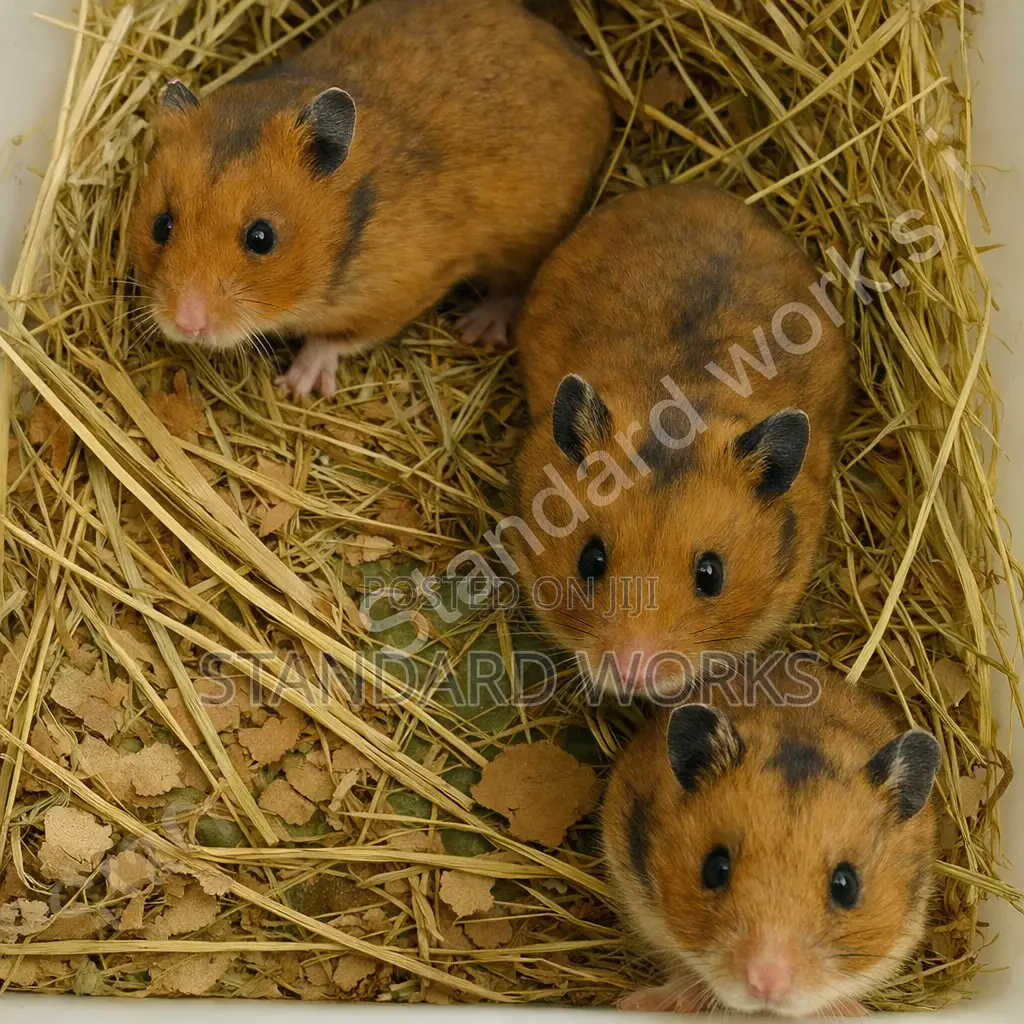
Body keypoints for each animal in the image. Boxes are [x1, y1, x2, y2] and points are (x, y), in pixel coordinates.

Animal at [127, 0, 611, 398]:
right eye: (161, 225)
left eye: (261, 238)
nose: (186, 324)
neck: (349, 225)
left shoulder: (397, 294)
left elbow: (334, 338)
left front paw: (297, 387)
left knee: (514, 286)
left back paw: (476, 327)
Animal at [602, 660, 942, 1018]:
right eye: (715, 869)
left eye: (846, 886)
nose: (765, 984)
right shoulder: (642, 906)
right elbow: (682, 967)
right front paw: (641, 1004)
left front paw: (855, 1013)